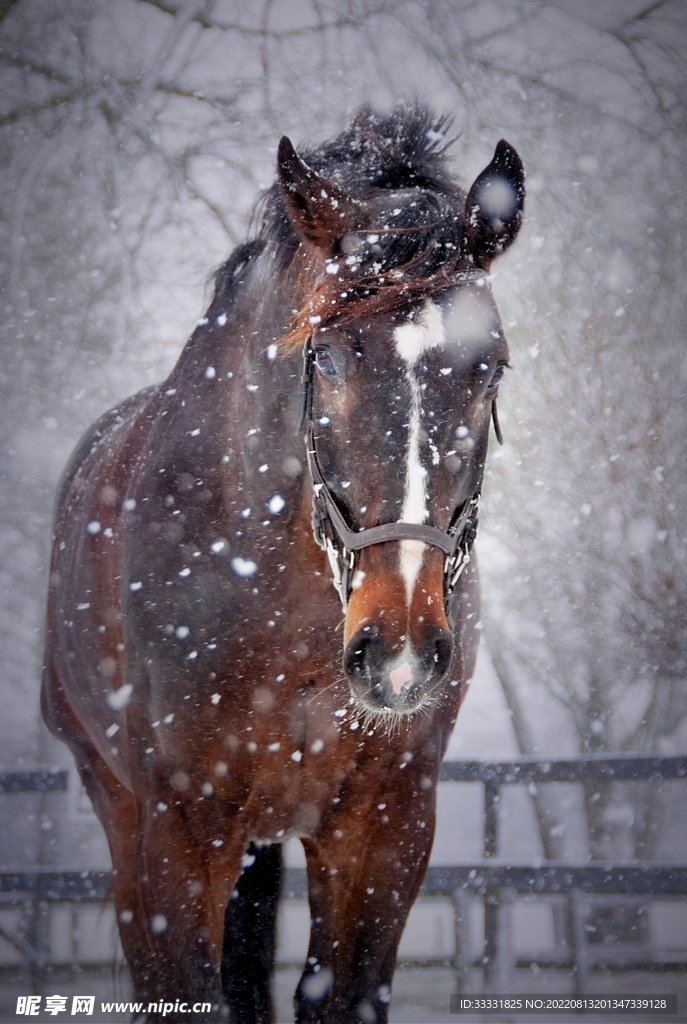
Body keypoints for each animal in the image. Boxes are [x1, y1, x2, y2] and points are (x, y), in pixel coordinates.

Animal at [42, 105, 524, 1023]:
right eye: (326, 358)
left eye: (491, 366)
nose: (399, 653)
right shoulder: (177, 833)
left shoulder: (386, 828)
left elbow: (338, 993)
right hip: (119, 809)